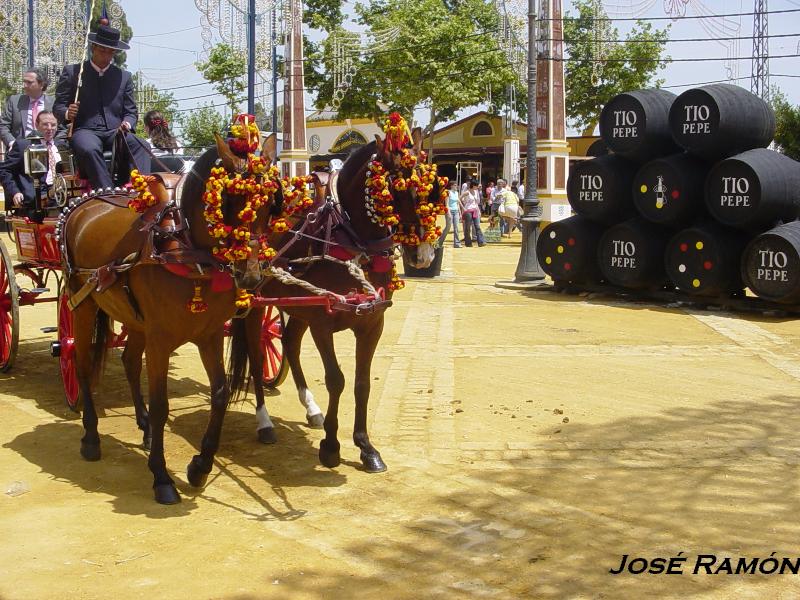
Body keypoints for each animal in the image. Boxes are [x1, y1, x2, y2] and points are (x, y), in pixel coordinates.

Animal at [60, 135, 278, 502]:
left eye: (270, 204)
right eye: (227, 201)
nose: (250, 276)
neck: (185, 246)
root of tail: (83, 203)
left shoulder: (208, 334)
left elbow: (220, 393)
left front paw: (200, 466)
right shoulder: (160, 340)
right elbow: (162, 403)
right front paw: (161, 477)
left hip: (134, 320)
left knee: (130, 362)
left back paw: (145, 427)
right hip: (83, 303)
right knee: (83, 364)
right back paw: (90, 438)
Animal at [231, 126, 444, 474]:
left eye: (433, 185)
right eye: (396, 188)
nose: (423, 255)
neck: (350, 240)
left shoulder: (372, 323)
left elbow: (361, 383)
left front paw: (366, 447)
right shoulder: (322, 322)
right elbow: (336, 380)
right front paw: (331, 447)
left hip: (296, 307)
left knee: (289, 344)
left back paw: (311, 408)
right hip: (255, 304)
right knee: (256, 354)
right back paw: (264, 423)